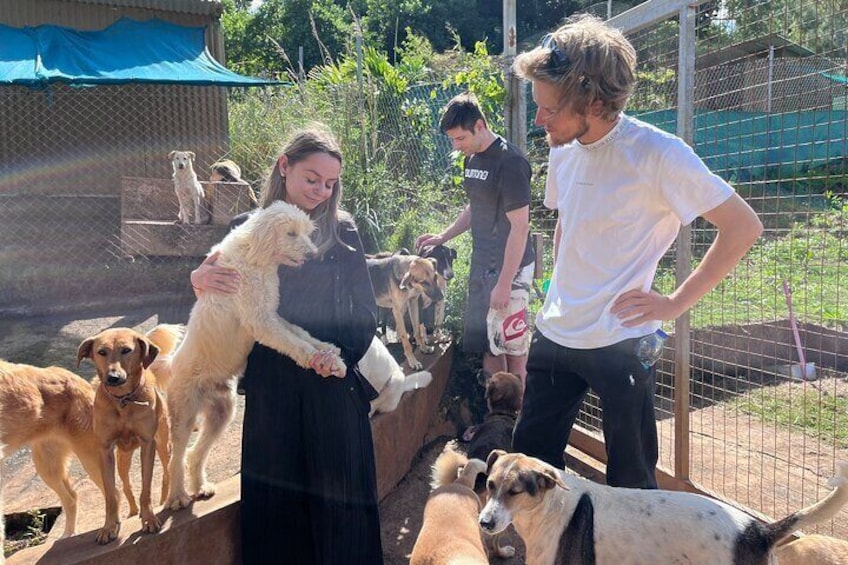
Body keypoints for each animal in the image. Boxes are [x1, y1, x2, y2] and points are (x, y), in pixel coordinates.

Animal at [76, 326, 177, 540]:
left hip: (163, 446)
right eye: (102, 352)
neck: (122, 400)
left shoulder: (148, 443)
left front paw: (149, 519)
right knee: (126, 485)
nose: (112, 377)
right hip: (123, 458)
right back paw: (132, 511)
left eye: (126, 350)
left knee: (166, 472)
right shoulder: (105, 449)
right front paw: (109, 527)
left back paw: (166, 499)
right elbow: (110, 495)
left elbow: (146, 488)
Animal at [166, 200, 344, 508]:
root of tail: (169, 366)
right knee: (175, 457)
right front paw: (316, 358)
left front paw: (328, 352)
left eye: (306, 232)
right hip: (183, 415)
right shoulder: (261, 321)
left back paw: (200, 487)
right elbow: (295, 344)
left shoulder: (272, 314)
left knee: (194, 454)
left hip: (221, 413)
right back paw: (178, 497)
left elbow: (300, 332)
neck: (256, 258)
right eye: (291, 233)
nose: (313, 255)